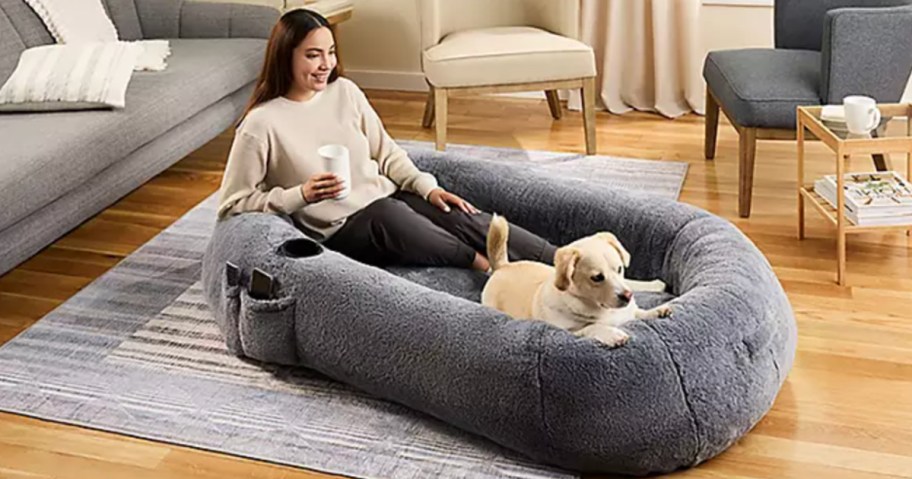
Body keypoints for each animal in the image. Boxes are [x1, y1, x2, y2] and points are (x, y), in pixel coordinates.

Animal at [484, 216, 668, 346]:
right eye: (597, 277)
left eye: (620, 269)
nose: (628, 296)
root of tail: (503, 266)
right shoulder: (569, 332)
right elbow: (591, 327)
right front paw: (612, 334)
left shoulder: (628, 313)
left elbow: (639, 312)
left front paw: (657, 311)